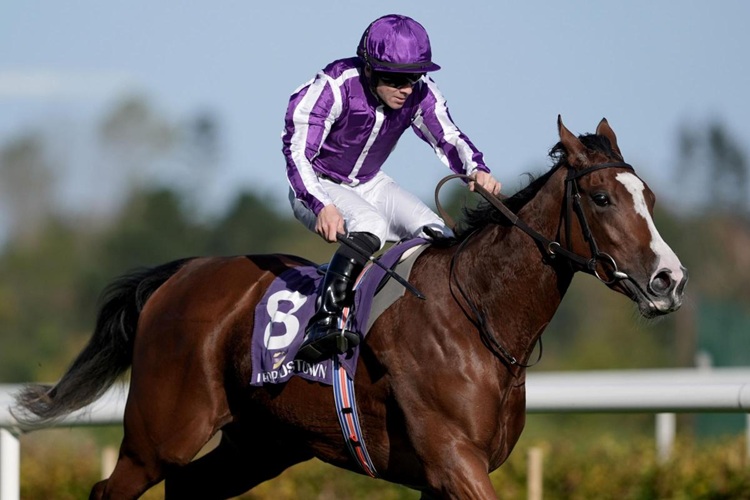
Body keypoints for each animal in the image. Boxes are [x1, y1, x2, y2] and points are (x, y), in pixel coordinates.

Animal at [14, 116, 687, 499]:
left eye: (649, 196)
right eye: (601, 197)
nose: (669, 280)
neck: (477, 320)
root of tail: (180, 275)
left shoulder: (444, 476)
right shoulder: (455, 461)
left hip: (260, 443)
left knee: (188, 489)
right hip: (158, 436)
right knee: (111, 490)